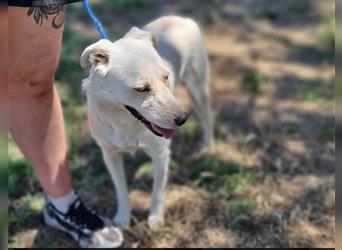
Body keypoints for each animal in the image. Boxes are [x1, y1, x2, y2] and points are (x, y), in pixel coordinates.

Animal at [81, 16, 212, 230]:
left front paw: (156, 219)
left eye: (166, 77)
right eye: (141, 89)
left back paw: (208, 147)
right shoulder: (110, 154)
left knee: (207, 118)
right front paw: (123, 218)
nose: (182, 119)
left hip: (198, 89)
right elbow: (121, 190)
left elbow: (158, 191)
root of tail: (181, 18)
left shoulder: (160, 154)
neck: (124, 122)